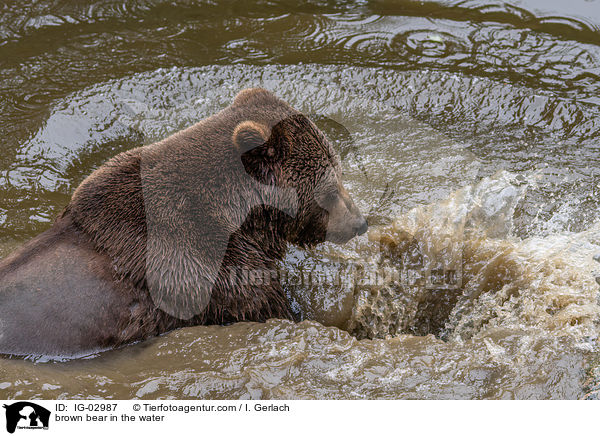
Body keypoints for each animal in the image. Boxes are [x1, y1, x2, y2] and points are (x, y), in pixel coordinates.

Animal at [0, 88, 366, 358]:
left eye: (339, 173)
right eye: (331, 189)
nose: (359, 223)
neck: (240, 217)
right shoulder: (207, 271)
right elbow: (269, 305)